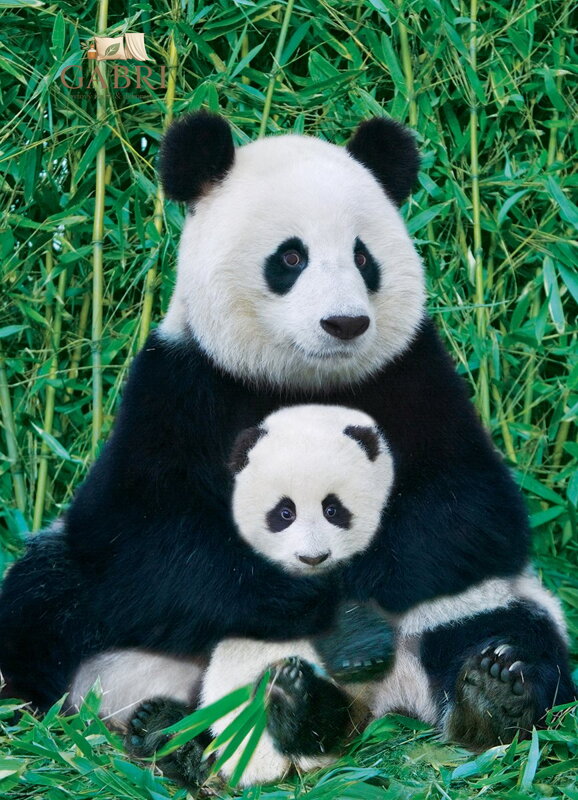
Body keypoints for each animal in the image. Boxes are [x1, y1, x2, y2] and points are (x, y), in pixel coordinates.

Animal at [0, 112, 573, 761]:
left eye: (363, 257)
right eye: (291, 257)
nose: (345, 323)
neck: (301, 378)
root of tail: (377, 703)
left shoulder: (414, 376)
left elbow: (470, 509)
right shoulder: (179, 386)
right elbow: (141, 535)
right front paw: (304, 594)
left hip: (477, 602)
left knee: (508, 627)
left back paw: (488, 693)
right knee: (45, 600)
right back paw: (173, 727)